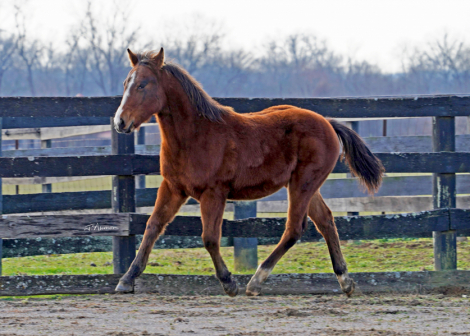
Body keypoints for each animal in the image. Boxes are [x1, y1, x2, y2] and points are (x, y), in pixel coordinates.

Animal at [112, 48, 384, 296]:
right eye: (126, 83)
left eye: (143, 85)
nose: (120, 122)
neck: (196, 135)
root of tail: (328, 122)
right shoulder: (173, 188)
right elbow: (153, 226)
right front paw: (126, 279)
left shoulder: (214, 193)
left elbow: (210, 237)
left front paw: (228, 282)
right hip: (305, 185)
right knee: (326, 221)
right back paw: (345, 281)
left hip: (303, 184)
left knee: (294, 228)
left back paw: (256, 281)